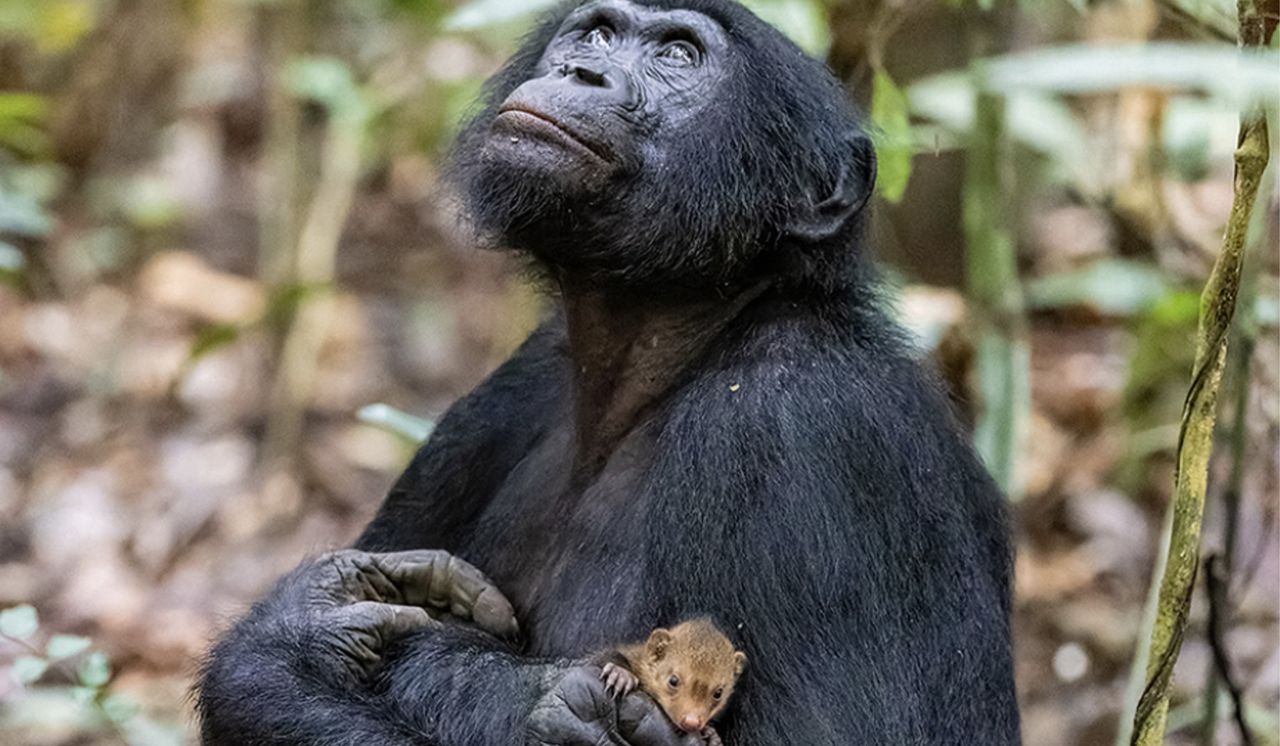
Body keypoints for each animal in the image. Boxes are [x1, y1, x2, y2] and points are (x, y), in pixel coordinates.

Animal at [194, 0, 1024, 742]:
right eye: (594, 32)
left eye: (679, 55)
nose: (582, 70)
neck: (672, 345)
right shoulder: (509, 389)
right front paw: (328, 613)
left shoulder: (812, 434)